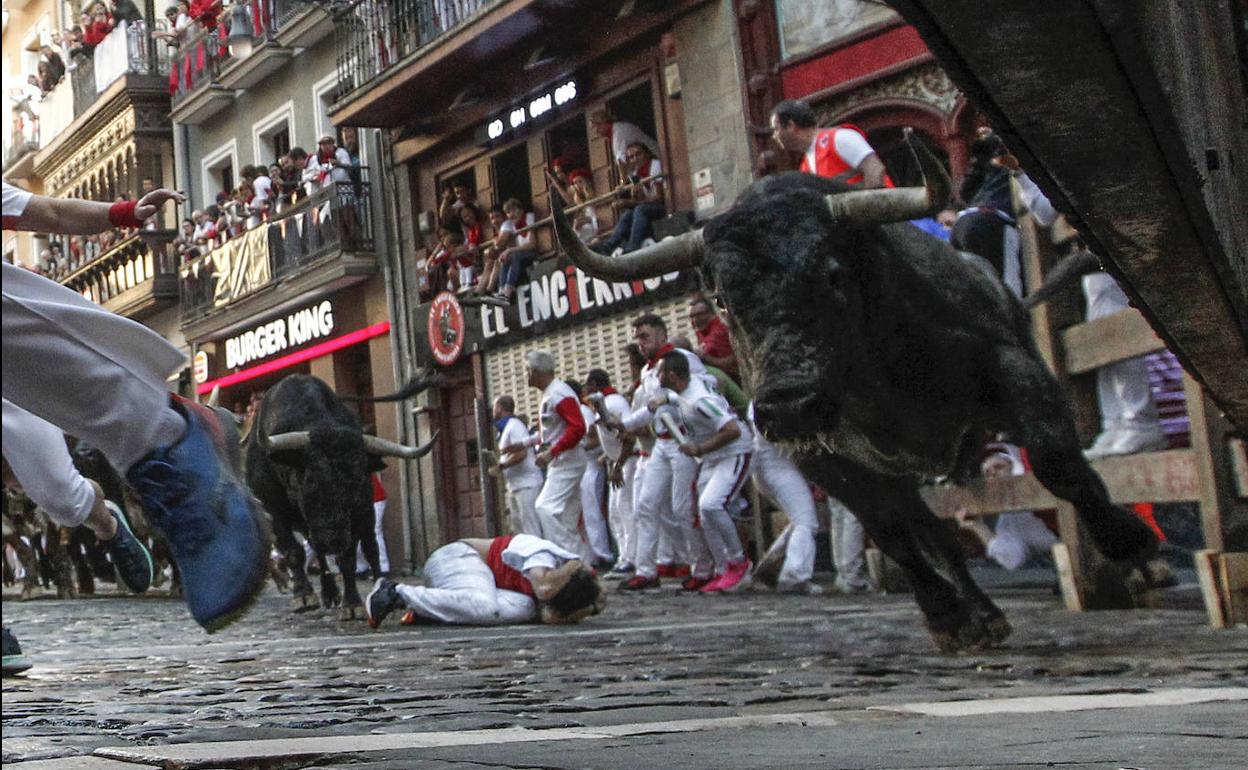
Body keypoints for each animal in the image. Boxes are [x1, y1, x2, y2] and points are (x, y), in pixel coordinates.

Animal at [240, 371, 441, 618]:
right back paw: (328, 592)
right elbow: (294, 551)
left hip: (365, 514)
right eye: (309, 478)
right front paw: (304, 595)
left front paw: (352, 603)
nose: (332, 539)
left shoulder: (356, 512)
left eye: (357, 479)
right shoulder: (274, 510)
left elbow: (348, 558)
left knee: (371, 548)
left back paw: (378, 584)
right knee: (316, 550)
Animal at [554, 136, 1158, 648]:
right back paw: (981, 614)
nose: (789, 405)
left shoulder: (1011, 365)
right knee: (930, 530)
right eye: (723, 297)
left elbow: (1058, 462)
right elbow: (890, 531)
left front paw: (1134, 549)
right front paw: (948, 616)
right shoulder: (826, 458)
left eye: (832, 272)